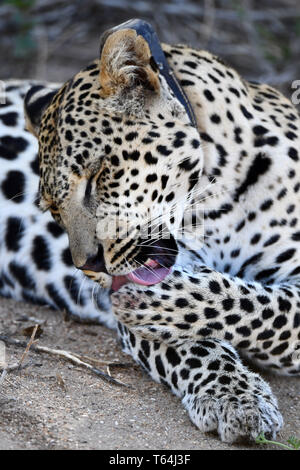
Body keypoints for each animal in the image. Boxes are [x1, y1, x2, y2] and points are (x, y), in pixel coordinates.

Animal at [0, 23, 300, 442]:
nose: (88, 266)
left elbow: (265, 309)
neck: (218, 198)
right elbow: (197, 340)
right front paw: (234, 396)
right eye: (54, 210)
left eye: (97, 176)